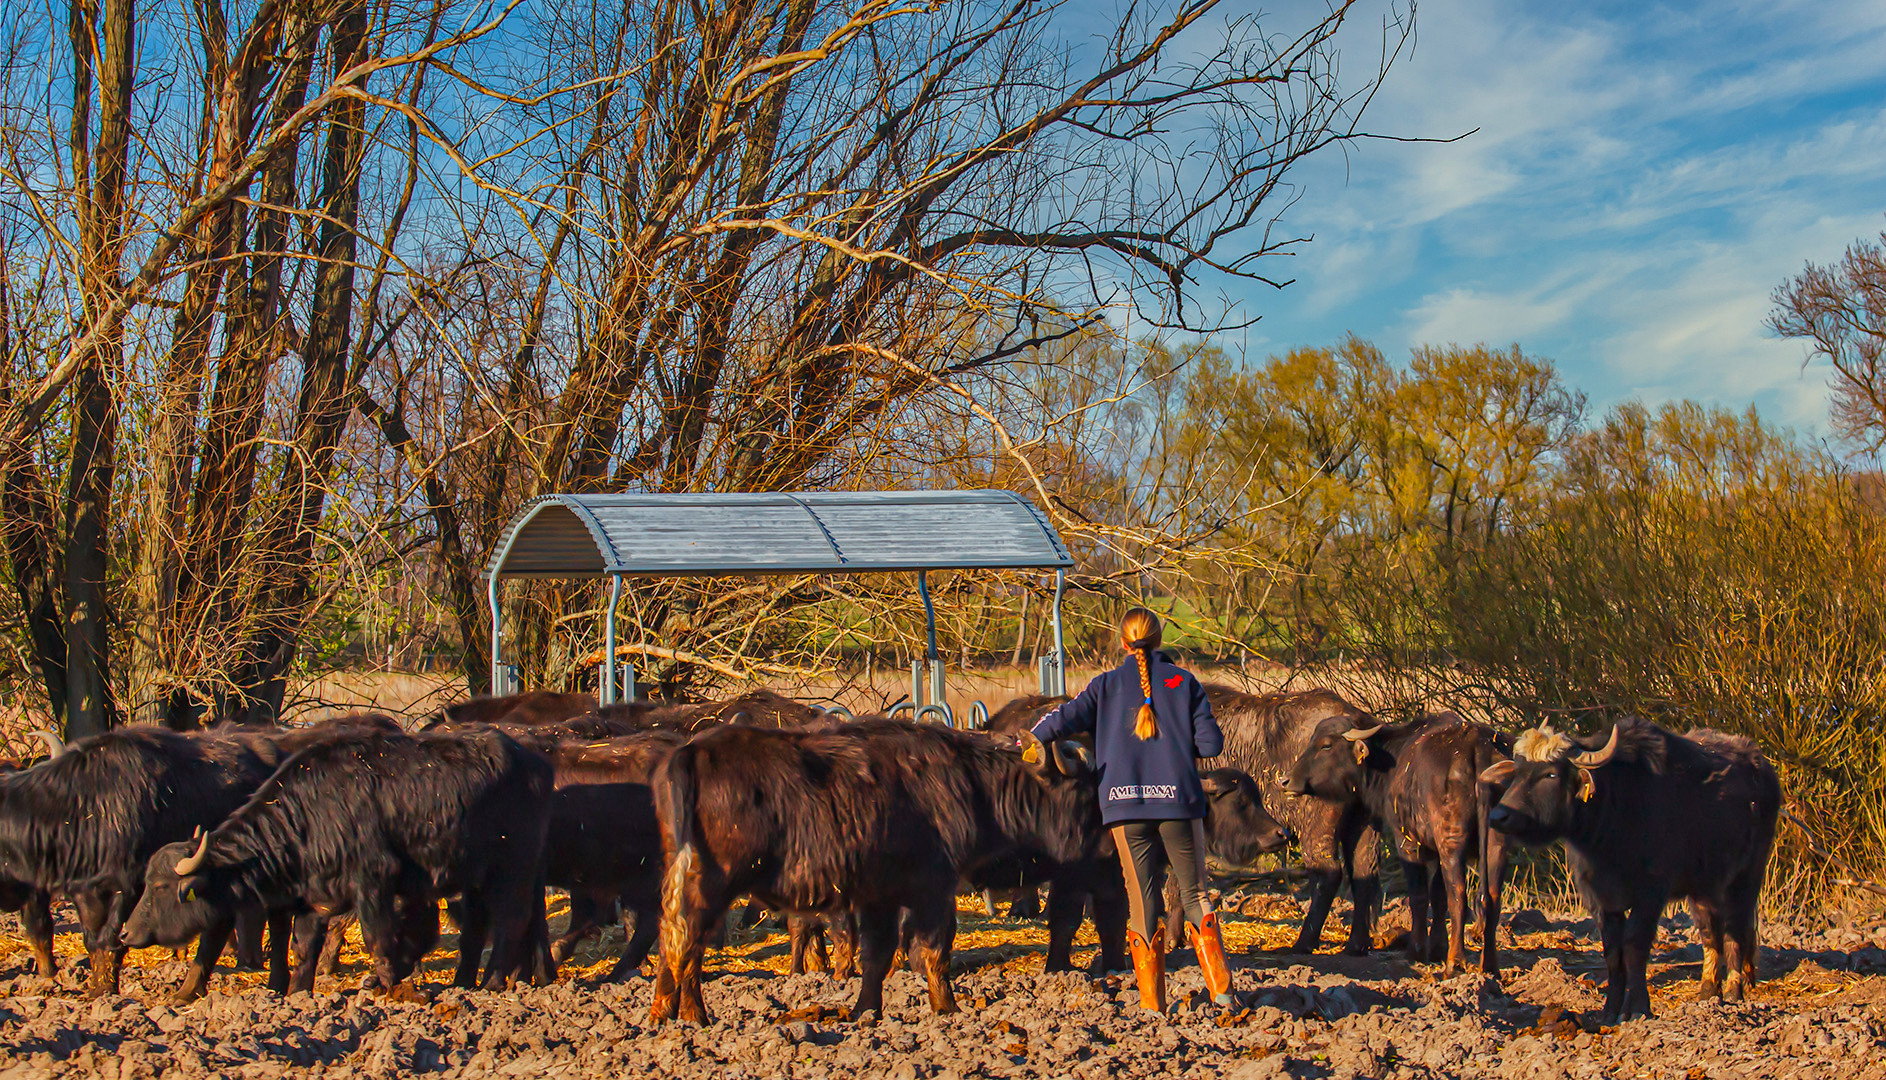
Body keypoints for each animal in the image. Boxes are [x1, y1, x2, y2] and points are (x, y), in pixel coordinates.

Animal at [121, 723, 550, 995]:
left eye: (160, 887)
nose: (125, 933)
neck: (312, 814)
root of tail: (532, 762)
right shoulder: (315, 897)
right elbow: (303, 947)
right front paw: (298, 991)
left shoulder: (374, 882)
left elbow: (379, 937)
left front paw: (389, 985)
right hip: (479, 875)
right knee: (487, 925)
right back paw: (470, 983)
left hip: (512, 869)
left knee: (511, 920)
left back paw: (492, 983)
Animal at [648, 716, 1101, 1017]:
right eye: (1081, 791)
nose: (1096, 842)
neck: (968, 781)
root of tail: (692, 752)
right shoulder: (933, 890)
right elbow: (934, 951)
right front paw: (948, 1009)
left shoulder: (879, 898)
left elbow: (877, 956)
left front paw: (866, 1012)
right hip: (711, 886)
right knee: (686, 944)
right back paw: (695, 1017)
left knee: (670, 938)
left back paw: (662, 1015)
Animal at [988, 689, 1388, 949]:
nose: (1019, 908)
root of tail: (1359, 719)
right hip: (1362, 828)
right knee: (1365, 873)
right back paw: (1357, 944)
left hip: (1315, 829)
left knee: (1329, 873)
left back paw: (1305, 942)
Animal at [1282, 708, 1516, 980]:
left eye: (1326, 745)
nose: (1286, 780)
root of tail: (1477, 748)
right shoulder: (1434, 849)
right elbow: (1437, 897)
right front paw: (1437, 948)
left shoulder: (1407, 841)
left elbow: (1419, 895)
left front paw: (1417, 950)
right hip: (1496, 845)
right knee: (1491, 898)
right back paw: (1490, 966)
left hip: (1452, 841)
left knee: (1458, 895)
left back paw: (1454, 964)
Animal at [1478, 716, 1772, 1017]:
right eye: (1518, 771)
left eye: (1550, 774)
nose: (1498, 816)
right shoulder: (1599, 896)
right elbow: (1612, 951)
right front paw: (1610, 1009)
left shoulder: (1651, 893)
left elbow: (1634, 946)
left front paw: (1637, 1008)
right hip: (1703, 887)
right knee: (1710, 933)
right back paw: (1707, 993)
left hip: (1746, 878)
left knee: (1735, 930)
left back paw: (1734, 992)